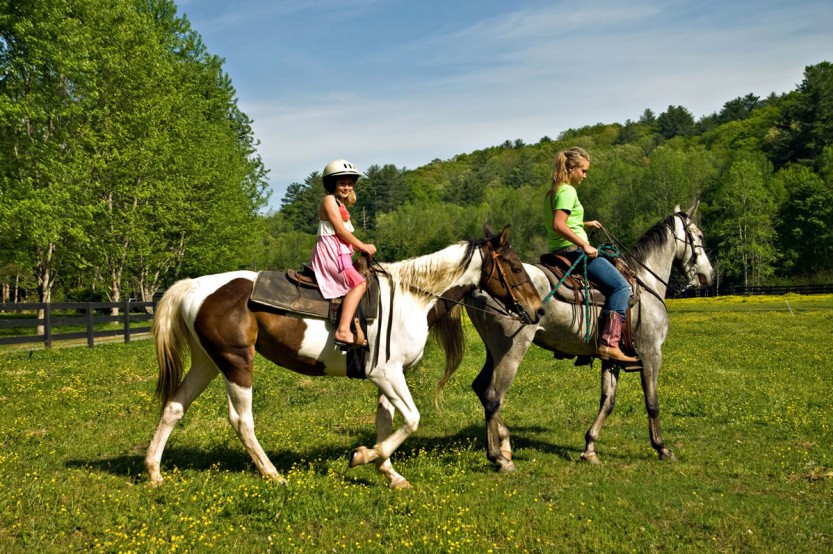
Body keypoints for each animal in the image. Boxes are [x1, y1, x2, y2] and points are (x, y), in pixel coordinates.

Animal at [145, 224, 544, 488]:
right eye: (513, 266)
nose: (538, 310)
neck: (412, 298)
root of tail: (195, 287)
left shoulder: (387, 377)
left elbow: (387, 421)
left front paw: (388, 471)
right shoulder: (387, 374)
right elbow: (411, 420)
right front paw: (364, 456)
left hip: (207, 363)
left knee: (174, 408)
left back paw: (154, 472)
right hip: (236, 362)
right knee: (241, 421)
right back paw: (273, 474)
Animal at [448, 204, 716, 470]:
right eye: (700, 236)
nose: (709, 276)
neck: (644, 284)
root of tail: (478, 286)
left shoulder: (612, 358)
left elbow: (608, 401)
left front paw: (590, 448)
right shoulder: (651, 353)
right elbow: (652, 402)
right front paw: (661, 447)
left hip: (493, 351)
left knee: (481, 388)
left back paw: (504, 443)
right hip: (511, 350)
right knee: (493, 396)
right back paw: (499, 457)